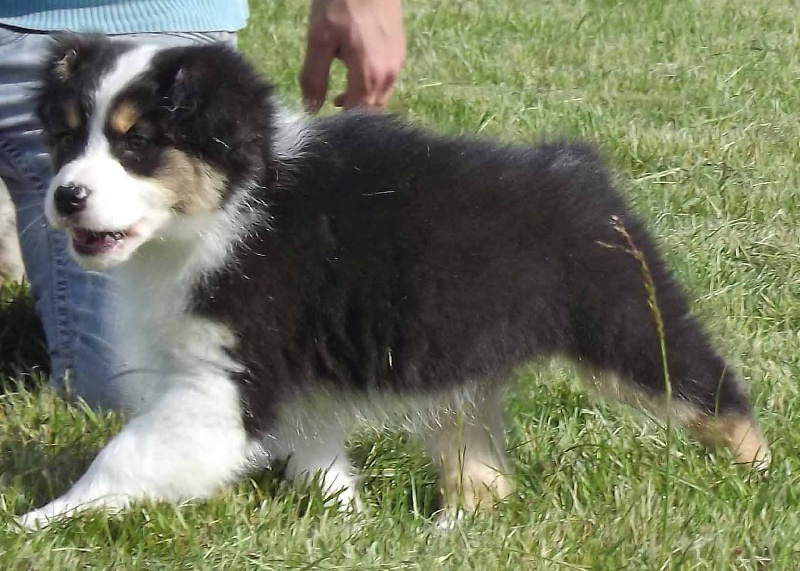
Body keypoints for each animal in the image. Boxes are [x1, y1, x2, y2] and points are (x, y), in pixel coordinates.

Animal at [21, 34, 770, 528]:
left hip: (626, 318)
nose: (65, 196)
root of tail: (580, 169)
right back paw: (451, 530)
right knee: (481, 469)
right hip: (461, 363)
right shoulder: (292, 378)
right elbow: (315, 451)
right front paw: (347, 518)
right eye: (65, 138)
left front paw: (41, 521)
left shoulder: (227, 376)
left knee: (712, 392)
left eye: (138, 142)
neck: (232, 200)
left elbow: (129, 454)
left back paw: (761, 477)